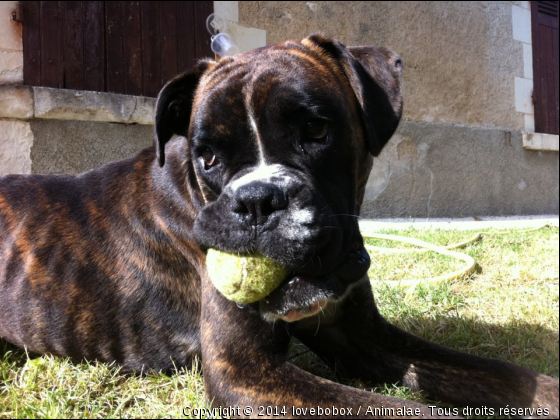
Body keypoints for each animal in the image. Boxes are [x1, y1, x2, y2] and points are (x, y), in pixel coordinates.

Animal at [1, 34, 560, 418]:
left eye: (315, 129)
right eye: (207, 156)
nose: (256, 200)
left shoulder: (364, 338)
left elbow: (503, 374)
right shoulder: (247, 372)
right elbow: (412, 413)